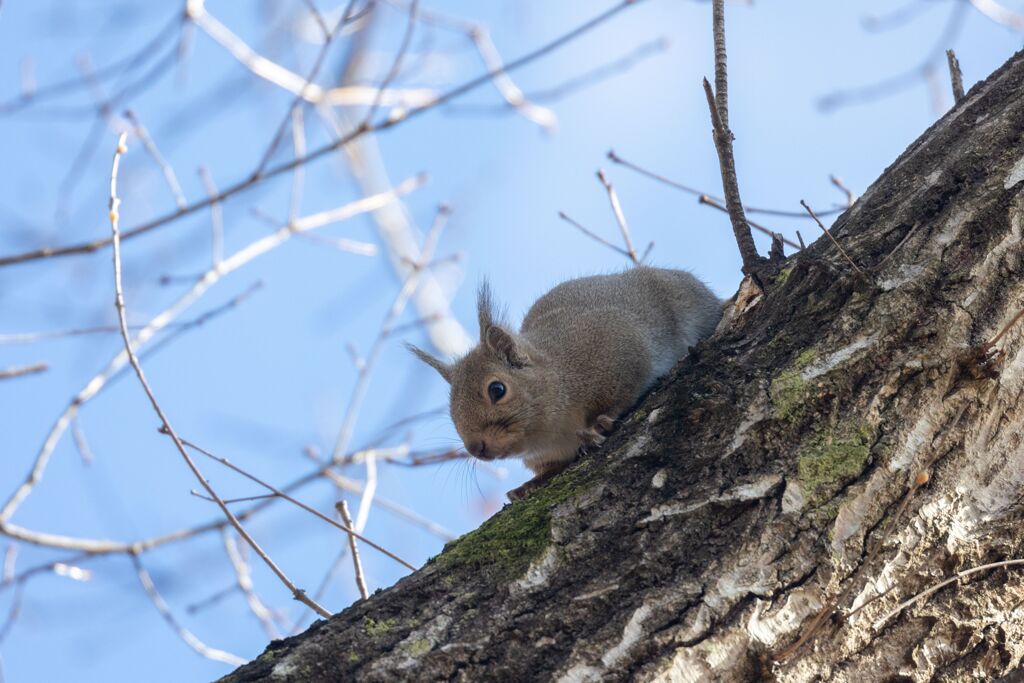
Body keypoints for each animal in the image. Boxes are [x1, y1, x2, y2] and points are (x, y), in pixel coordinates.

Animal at [407, 268, 720, 501]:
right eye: (450, 411)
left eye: (497, 390)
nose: (475, 448)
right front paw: (529, 485)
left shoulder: (620, 349)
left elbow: (623, 394)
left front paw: (600, 423)